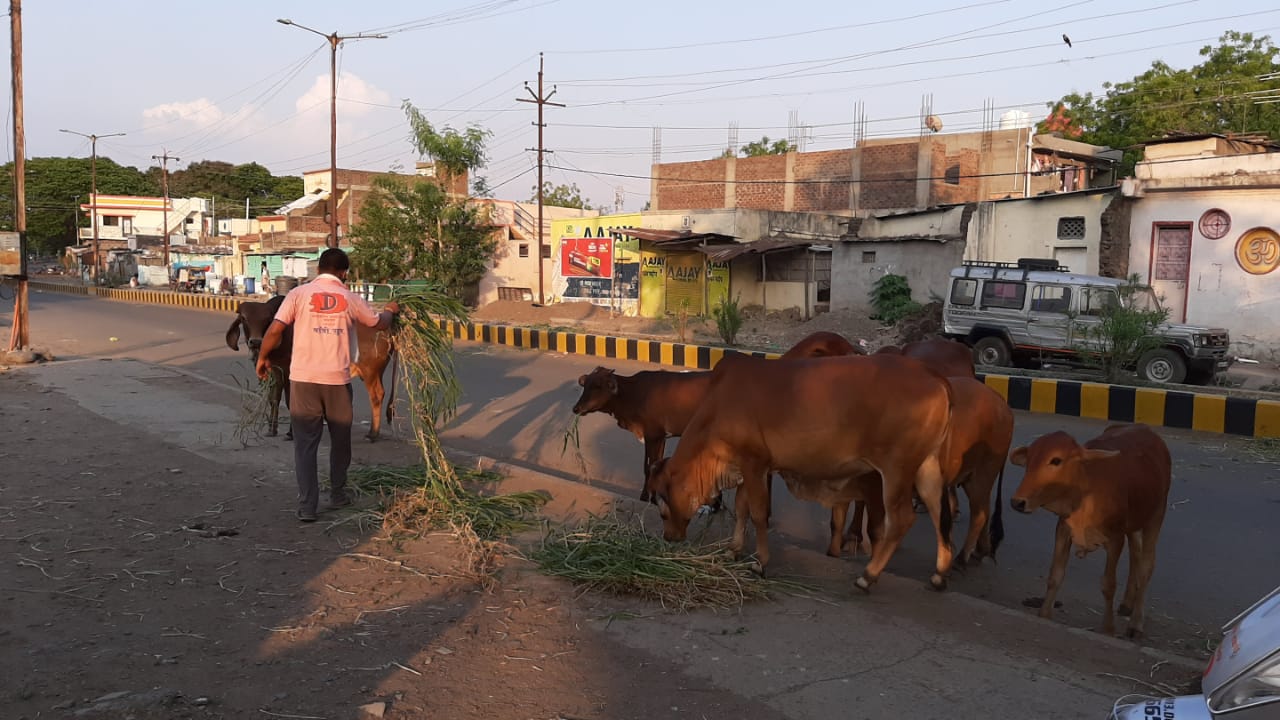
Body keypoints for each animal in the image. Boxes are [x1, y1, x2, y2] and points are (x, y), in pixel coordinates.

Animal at [225, 289, 394, 438]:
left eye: (267, 319)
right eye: (244, 318)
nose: (255, 342)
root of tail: (387, 330)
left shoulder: (289, 372)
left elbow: (290, 401)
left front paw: (291, 433)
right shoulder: (276, 371)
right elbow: (274, 398)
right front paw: (272, 429)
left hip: (369, 372)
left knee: (376, 396)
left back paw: (373, 433)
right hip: (376, 372)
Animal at [1008, 422, 1172, 635]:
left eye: (1056, 460)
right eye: (1029, 460)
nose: (1017, 502)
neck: (1086, 490)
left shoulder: (1115, 539)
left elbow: (1108, 585)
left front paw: (1108, 628)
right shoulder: (1063, 529)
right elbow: (1055, 575)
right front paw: (1044, 614)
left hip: (1156, 515)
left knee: (1146, 565)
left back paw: (1136, 622)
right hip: (1135, 521)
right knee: (1136, 552)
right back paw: (1127, 603)